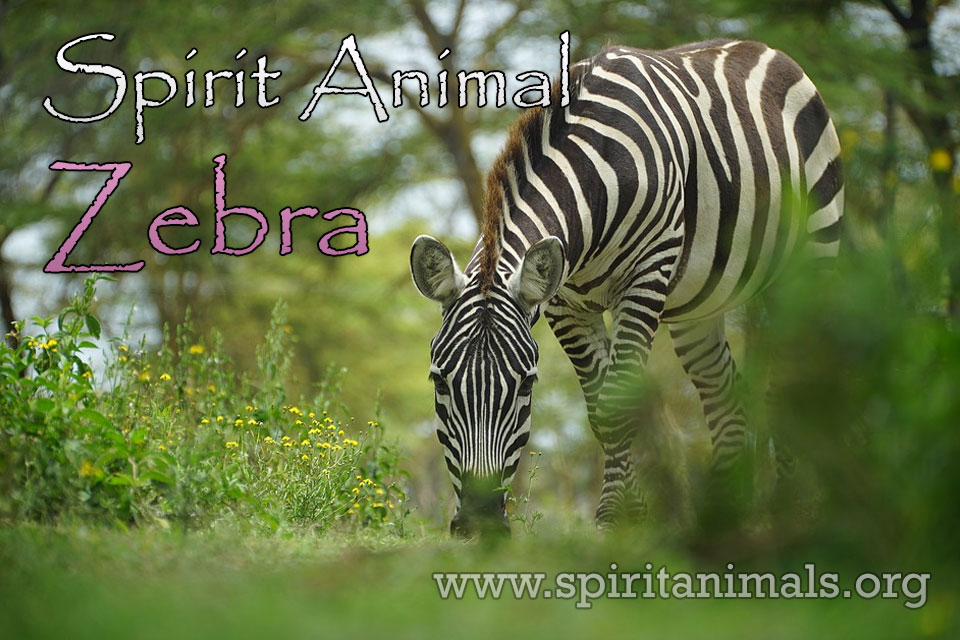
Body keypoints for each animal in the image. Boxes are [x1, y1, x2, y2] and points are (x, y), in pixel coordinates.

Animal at [410, 39, 843, 536]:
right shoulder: (564, 302)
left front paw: (615, 516)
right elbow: (600, 408)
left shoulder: (646, 276)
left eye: (526, 385)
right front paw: (632, 513)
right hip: (700, 306)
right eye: (439, 381)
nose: (480, 522)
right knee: (724, 394)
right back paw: (722, 515)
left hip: (808, 259)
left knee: (792, 379)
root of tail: (762, 47)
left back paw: (793, 509)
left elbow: (619, 401)